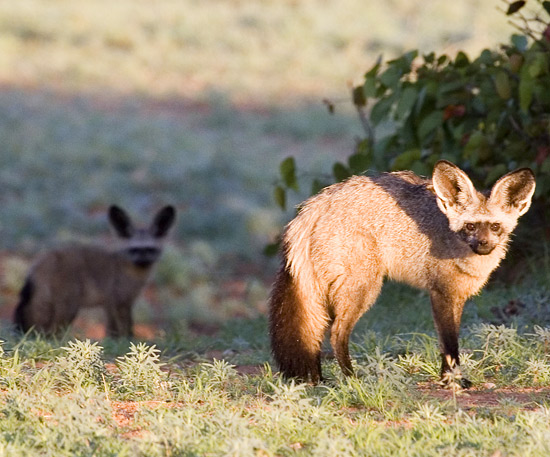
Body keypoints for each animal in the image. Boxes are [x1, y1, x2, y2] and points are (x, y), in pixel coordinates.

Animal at [13, 205, 177, 336]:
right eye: (135, 250)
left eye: (150, 250)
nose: (143, 261)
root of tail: (43, 260)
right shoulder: (118, 300)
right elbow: (123, 327)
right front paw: (127, 341)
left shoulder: (114, 302)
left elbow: (116, 327)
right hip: (68, 305)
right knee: (53, 329)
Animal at [272, 159, 540, 386]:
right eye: (470, 227)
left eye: (495, 227)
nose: (483, 245)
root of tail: (315, 204)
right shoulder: (441, 294)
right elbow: (450, 344)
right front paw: (454, 381)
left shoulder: (457, 297)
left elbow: (447, 345)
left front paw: (447, 379)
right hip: (363, 290)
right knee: (336, 333)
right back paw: (352, 379)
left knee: (317, 334)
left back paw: (320, 381)